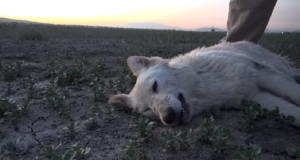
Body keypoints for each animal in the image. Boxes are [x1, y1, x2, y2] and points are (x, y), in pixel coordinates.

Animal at [108, 40, 300, 127]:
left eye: (155, 86)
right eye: (147, 110)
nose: (168, 117)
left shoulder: (260, 73)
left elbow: (294, 92)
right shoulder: (258, 98)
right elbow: (294, 113)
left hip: (276, 66)